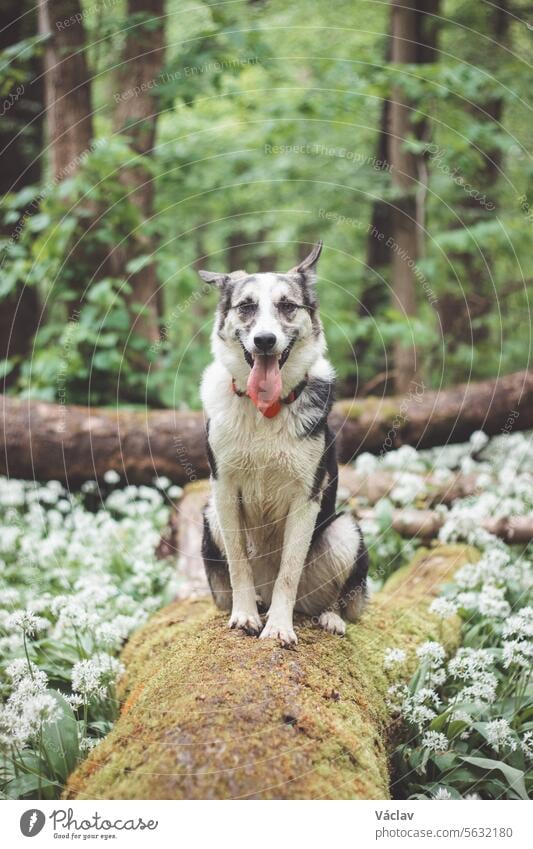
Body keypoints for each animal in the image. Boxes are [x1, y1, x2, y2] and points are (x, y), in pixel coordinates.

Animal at [197, 242, 368, 644]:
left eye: (287, 305)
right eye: (246, 306)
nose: (264, 341)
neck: (266, 409)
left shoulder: (306, 497)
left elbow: (288, 572)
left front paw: (278, 627)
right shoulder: (224, 490)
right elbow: (239, 564)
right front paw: (245, 615)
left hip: (345, 531)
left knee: (330, 599)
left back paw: (329, 617)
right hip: (211, 515)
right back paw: (257, 604)